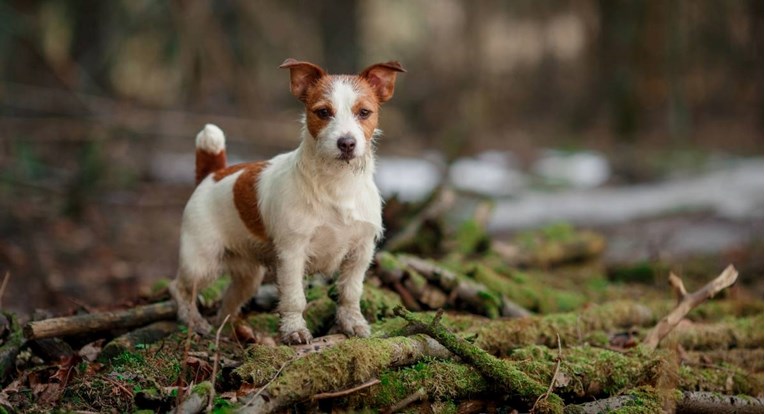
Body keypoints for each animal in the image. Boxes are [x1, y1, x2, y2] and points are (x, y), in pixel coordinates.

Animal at [169, 57, 406, 342]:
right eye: (323, 112)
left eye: (364, 113)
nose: (347, 143)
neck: (338, 184)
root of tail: (213, 174)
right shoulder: (293, 253)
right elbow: (294, 297)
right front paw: (294, 331)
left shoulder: (360, 252)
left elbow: (350, 292)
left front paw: (352, 322)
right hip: (202, 261)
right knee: (180, 288)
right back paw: (195, 322)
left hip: (248, 275)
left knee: (229, 299)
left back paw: (225, 328)